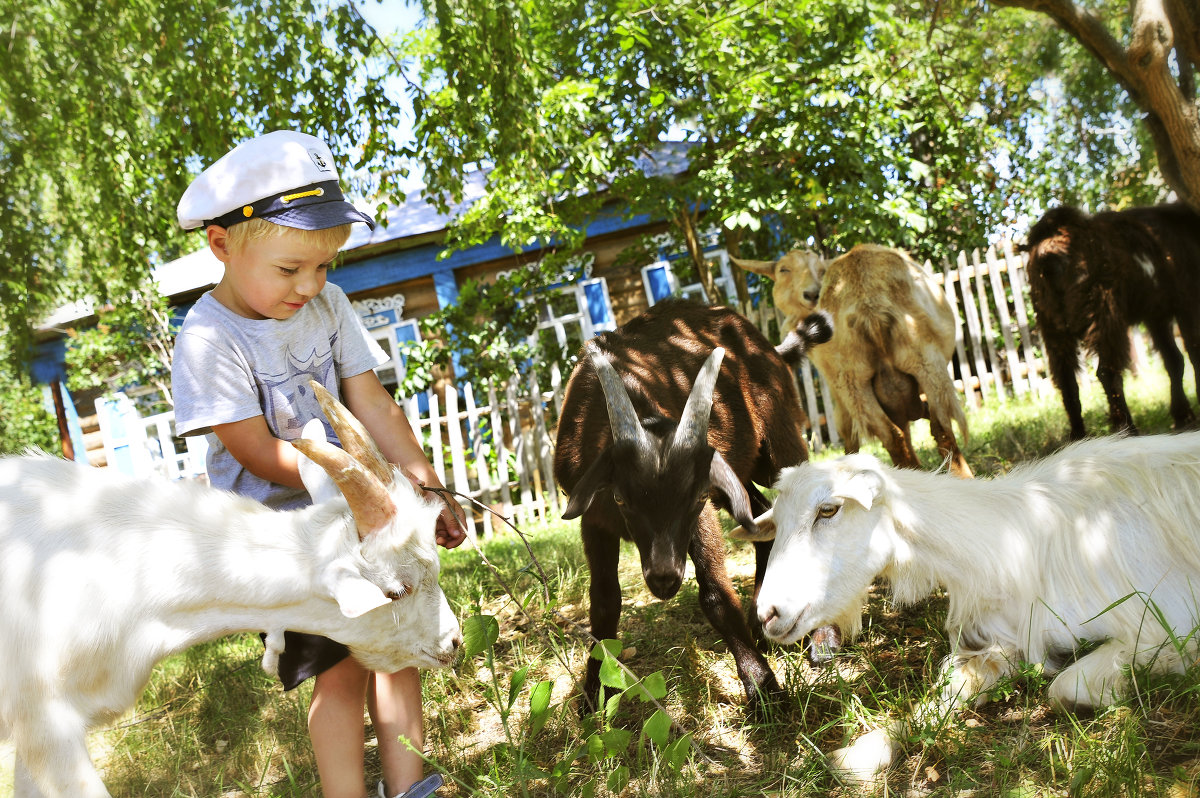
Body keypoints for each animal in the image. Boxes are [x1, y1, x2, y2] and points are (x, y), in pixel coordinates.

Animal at [549, 298, 825, 710]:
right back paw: (763, 621)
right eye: (620, 497)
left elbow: (714, 594)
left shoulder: (703, 510)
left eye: (696, 496)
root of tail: (769, 347)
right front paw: (592, 694)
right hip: (738, 470)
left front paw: (763, 690)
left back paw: (824, 640)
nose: (664, 578)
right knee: (762, 518)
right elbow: (604, 603)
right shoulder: (594, 520)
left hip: (778, 437)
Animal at [729, 242, 974, 475]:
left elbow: (848, 429)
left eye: (819, 269)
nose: (811, 294)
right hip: (919, 363)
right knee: (932, 429)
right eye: (784, 269)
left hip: (855, 381)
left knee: (901, 434)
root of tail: (868, 300)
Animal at [729, 432, 1200, 782]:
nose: (767, 614)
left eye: (828, 509)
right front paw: (865, 751)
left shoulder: (1166, 624)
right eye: (777, 523)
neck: (1014, 538)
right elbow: (952, 687)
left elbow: (1065, 688)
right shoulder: (1004, 641)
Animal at [1017, 202, 1200, 439]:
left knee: (1066, 379)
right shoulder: (1187, 301)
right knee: (1107, 371)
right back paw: (1125, 429)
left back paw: (1078, 435)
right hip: (1103, 311)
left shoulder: (1156, 315)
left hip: (1050, 324)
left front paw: (1182, 415)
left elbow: (1173, 359)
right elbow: (1193, 351)